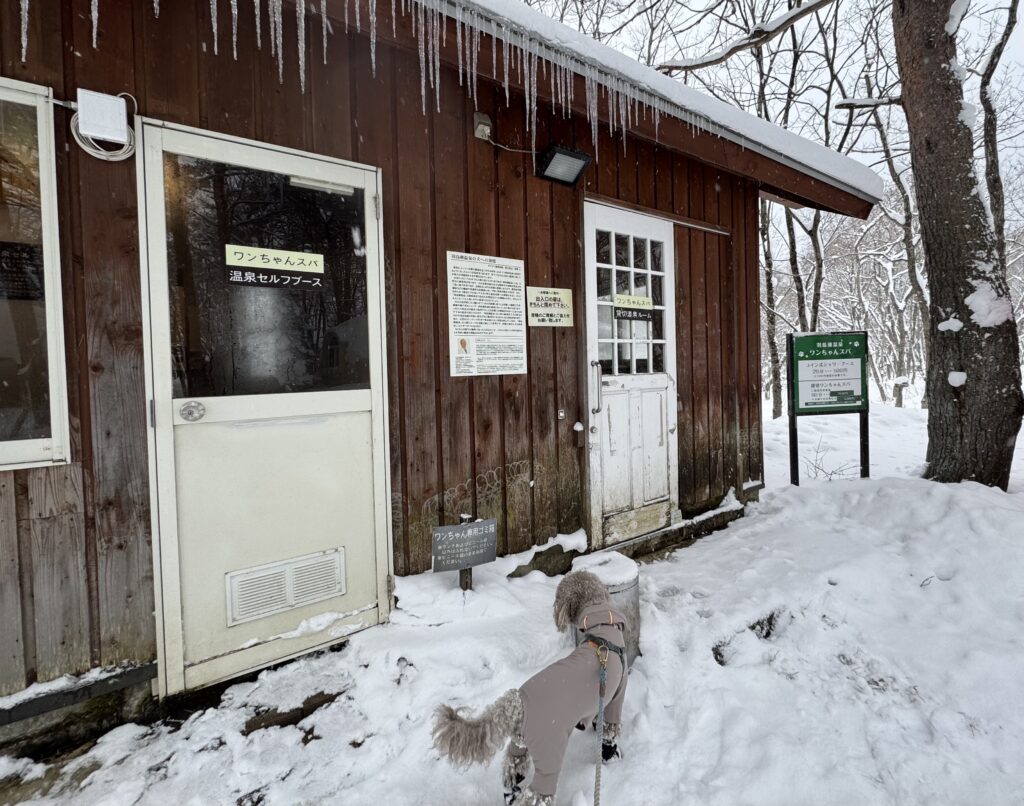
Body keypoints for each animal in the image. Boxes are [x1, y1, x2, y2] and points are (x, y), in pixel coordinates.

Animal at [430, 569, 626, 802]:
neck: (602, 628)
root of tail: (516, 703)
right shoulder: (616, 696)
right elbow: (609, 733)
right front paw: (611, 757)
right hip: (549, 753)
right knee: (537, 795)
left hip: (519, 747)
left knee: (511, 773)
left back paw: (510, 795)